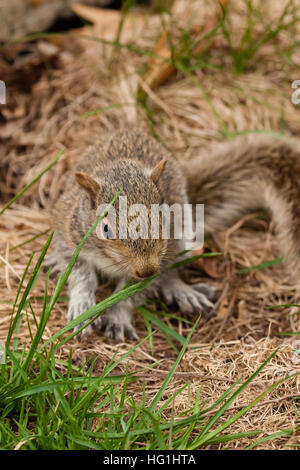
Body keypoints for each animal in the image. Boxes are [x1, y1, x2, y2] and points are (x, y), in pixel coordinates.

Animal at [43, 129, 300, 342]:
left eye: (164, 217)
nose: (146, 270)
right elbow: (80, 274)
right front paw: (82, 308)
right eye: (105, 229)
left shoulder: (161, 260)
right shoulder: (69, 237)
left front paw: (117, 317)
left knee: (171, 273)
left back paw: (183, 291)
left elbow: (133, 293)